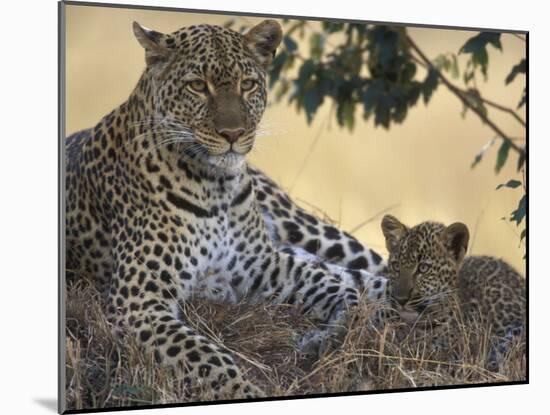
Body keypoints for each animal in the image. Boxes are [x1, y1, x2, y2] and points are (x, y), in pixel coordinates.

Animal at [66, 19, 388, 400]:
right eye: (197, 86)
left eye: (247, 85)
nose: (233, 134)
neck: (215, 187)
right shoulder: (138, 303)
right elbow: (205, 356)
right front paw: (245, 390)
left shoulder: (263, 263)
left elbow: (334, 289)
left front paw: (341, 324)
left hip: (307, 229)